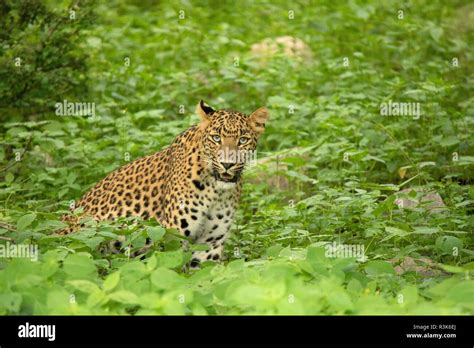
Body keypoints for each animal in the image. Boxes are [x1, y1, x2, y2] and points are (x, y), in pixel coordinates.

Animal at [57, 100, 268, 266]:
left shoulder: (210, 244)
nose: (227, 164)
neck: (216, 191)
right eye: (216, 138)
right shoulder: (174, 236)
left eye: (243, 140)